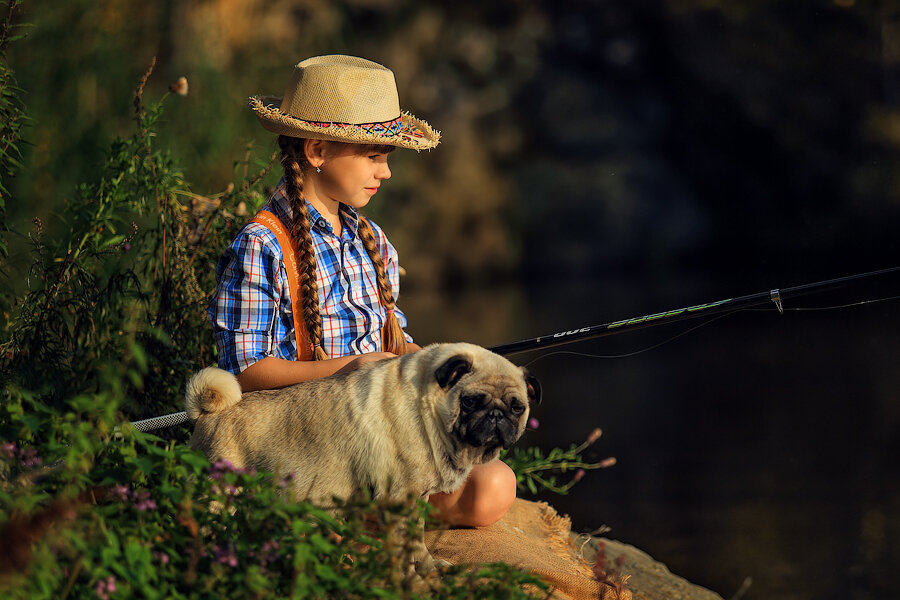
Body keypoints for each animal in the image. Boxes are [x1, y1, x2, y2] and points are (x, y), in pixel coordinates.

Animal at [179, 342, 536, 572]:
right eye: (472, 401)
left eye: (517, 407)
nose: (497, 416)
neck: (427, 407)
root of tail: (207, 414)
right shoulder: (399, 500)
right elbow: (405, 550)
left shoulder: (415, 500)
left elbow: (418, 543)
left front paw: (429, 567)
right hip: (217, 496)